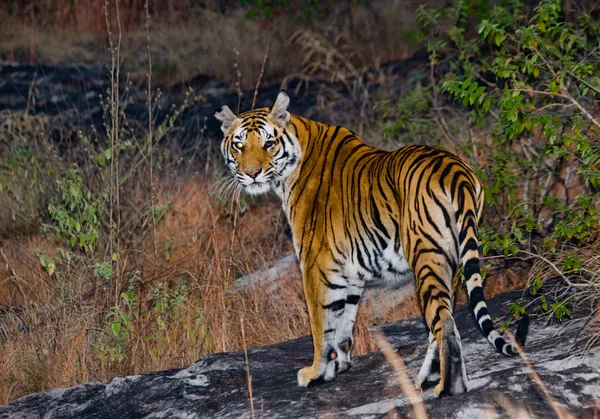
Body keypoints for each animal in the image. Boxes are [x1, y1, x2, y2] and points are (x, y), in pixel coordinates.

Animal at [217, 90, 528, 396]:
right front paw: (340, 363)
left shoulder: (314, 263)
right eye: (239, 146)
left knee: (445, 324)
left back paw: (446, 389)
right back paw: (425, 379)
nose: (252, 174)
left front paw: (315, 373)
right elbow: (344, 320)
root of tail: (458, 173)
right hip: (451, 261)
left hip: (425, 255)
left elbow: (320, 324)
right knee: (440, 321)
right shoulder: (349, 270)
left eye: (268, 143)